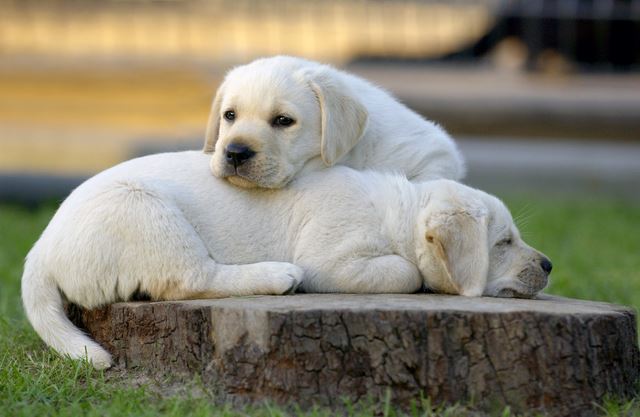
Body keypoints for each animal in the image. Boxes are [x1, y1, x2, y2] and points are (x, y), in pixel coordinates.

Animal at [21, 150, 552, 368]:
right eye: (503, 243)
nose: (548, 266)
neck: (395, 212)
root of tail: (41, 249)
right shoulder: (330, 258)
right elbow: (404, 269)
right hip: (148, 212)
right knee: (191, 278)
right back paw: (277, 275)